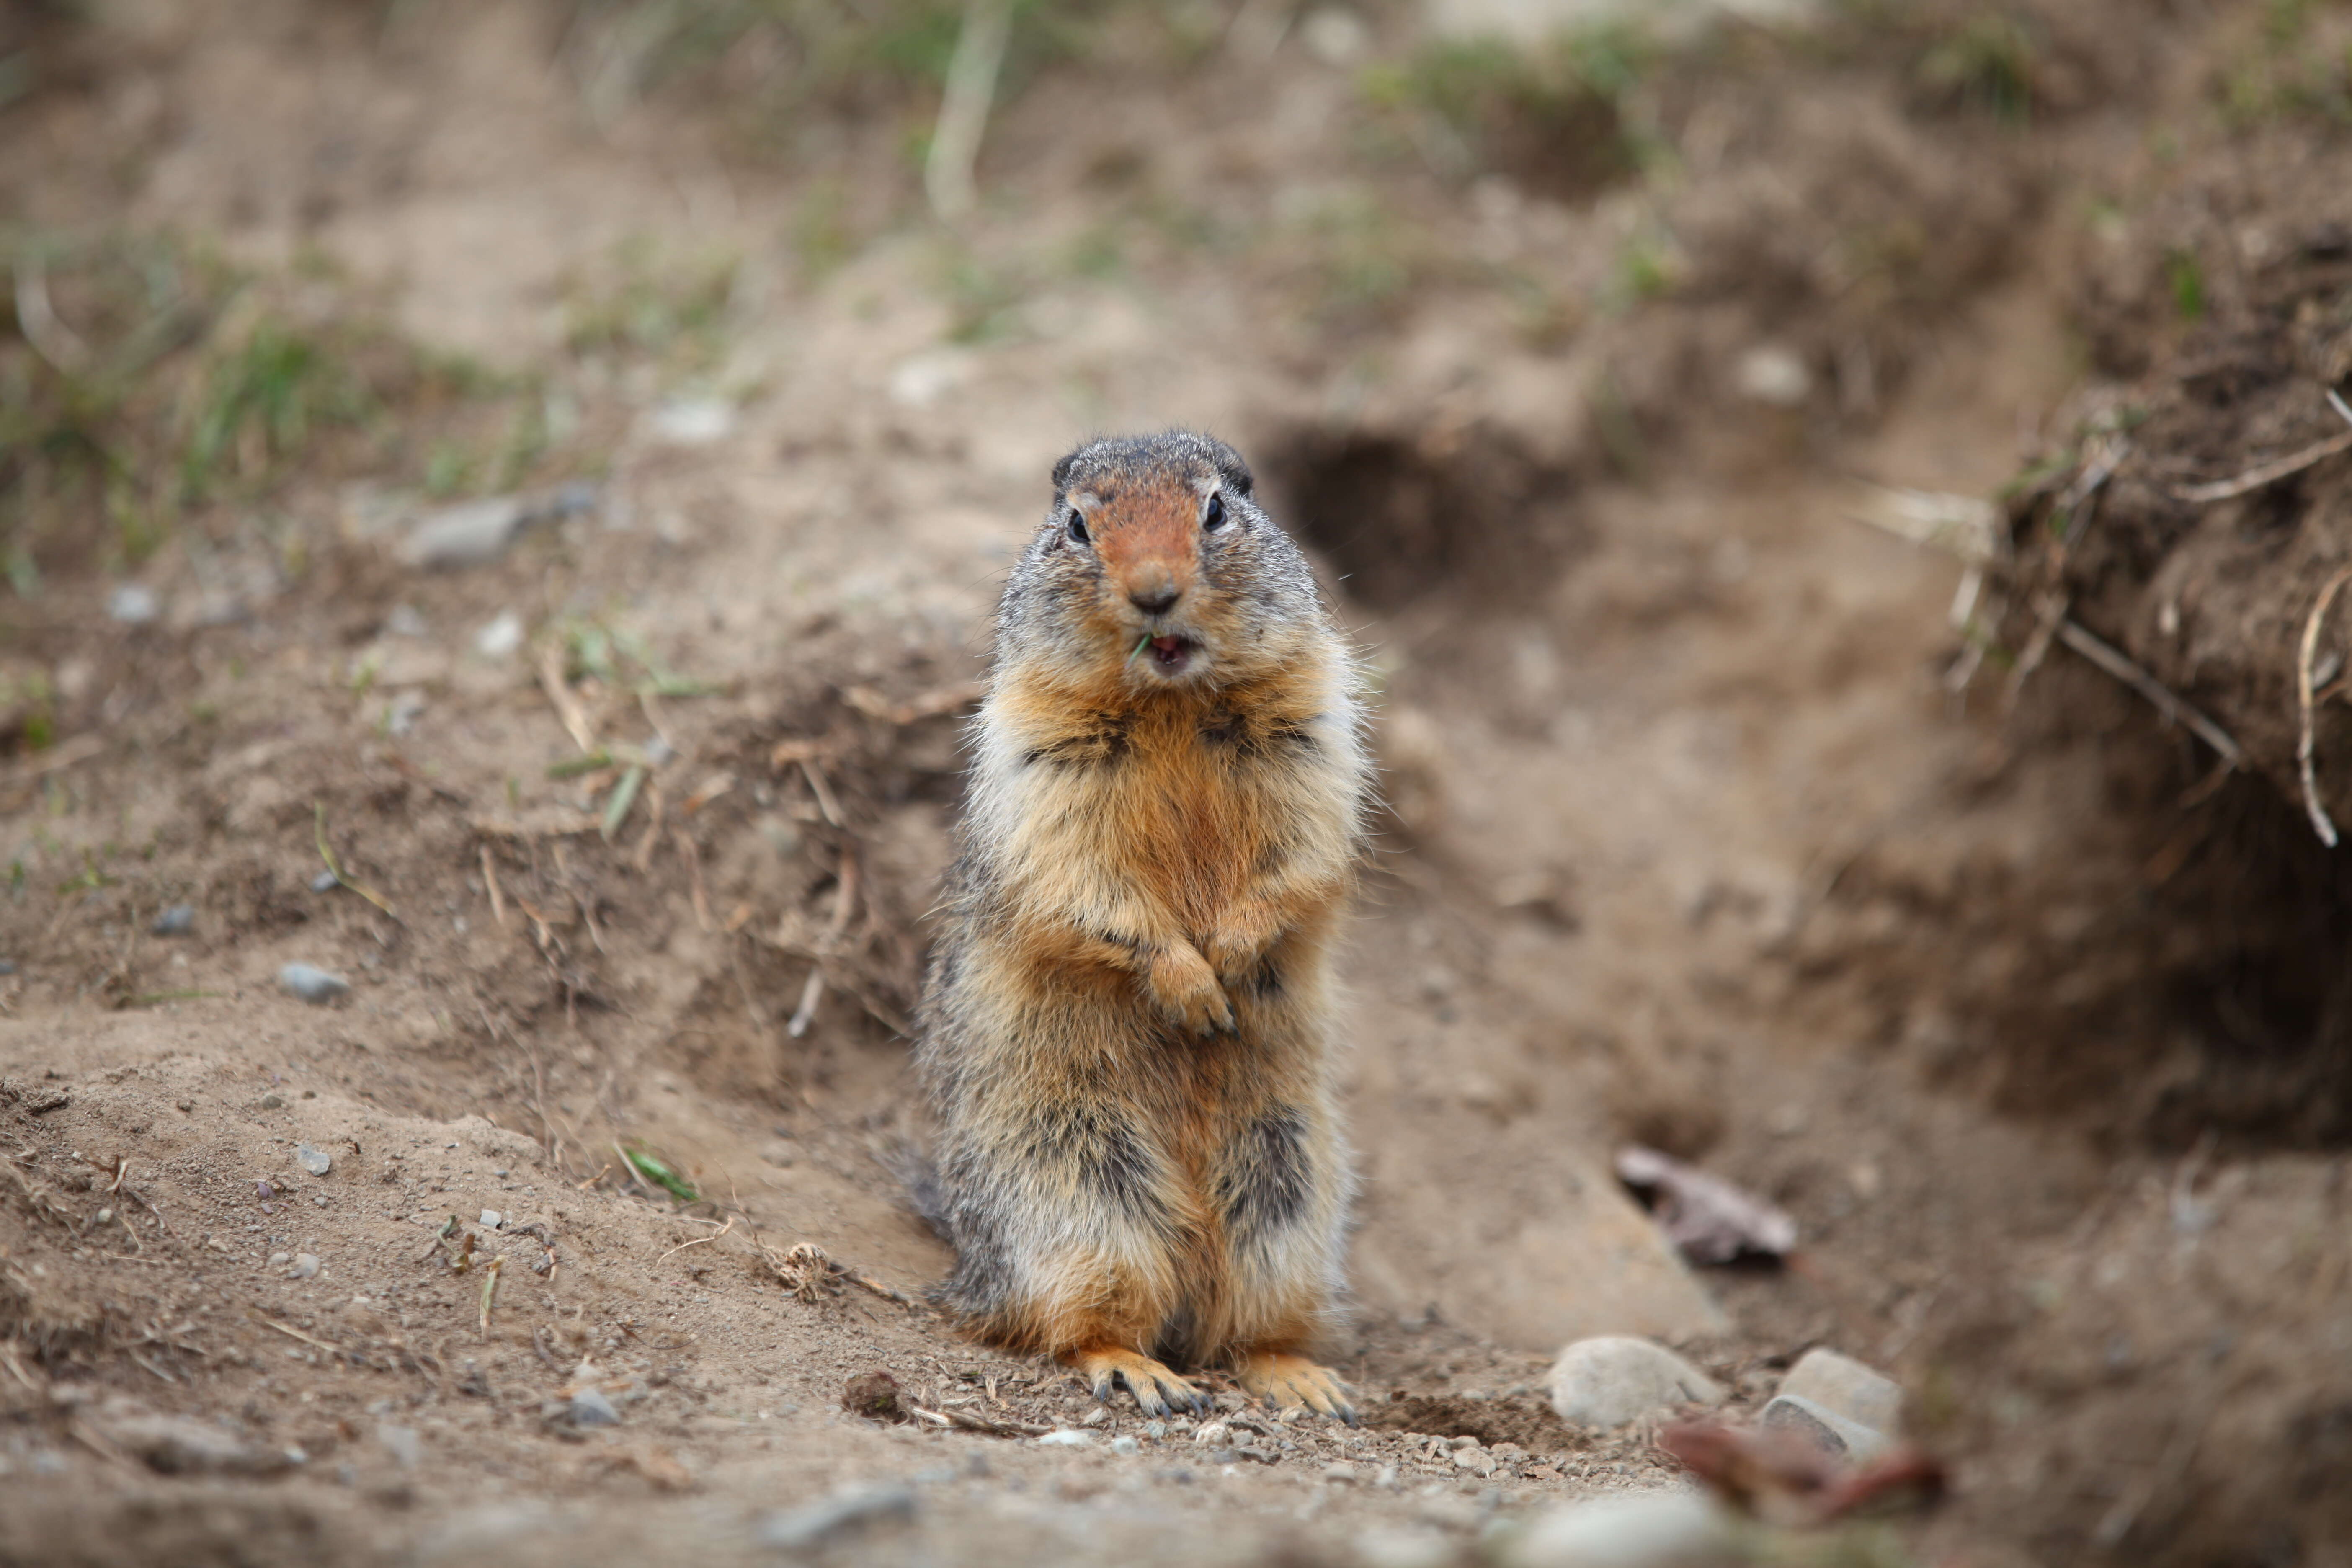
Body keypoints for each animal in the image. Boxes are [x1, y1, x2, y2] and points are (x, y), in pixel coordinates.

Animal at [908, 430, 1373, 1420]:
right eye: (1078, 525)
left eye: (1218, 510)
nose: (1155, 591)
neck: (1173, 702)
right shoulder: (1039, 763)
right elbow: (1084, 887)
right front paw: (1194, 987)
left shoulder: (1316, 730)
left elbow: (1303, 858)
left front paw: (1233, 955)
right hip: (1074, 1190)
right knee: (1074, 1318)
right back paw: (1138, 1368)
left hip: (1287, 1195)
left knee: (1247, 1325)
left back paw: (1301, 1378)